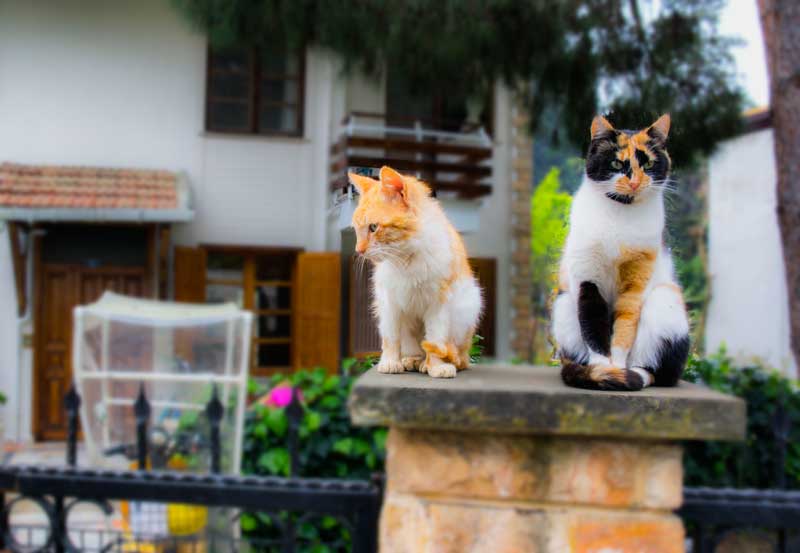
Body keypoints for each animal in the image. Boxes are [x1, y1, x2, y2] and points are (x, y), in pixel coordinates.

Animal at [348, 166, 482, 378]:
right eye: (356, 230)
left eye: (373, 227)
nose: (358, 250)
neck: (406, 259)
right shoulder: (388, 302)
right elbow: (391, 337)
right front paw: (390, 362)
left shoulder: (439, 302)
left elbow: (435, 337)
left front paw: (436, 366)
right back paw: (412, 360)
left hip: (469, 306)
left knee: (459, 357)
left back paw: (432, 363)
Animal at [552, 113, 692, 388]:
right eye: (617, 163)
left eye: (649, 164)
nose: (635, 181)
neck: (620, 214)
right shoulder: (587, 279)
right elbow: (593, 326)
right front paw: (603, 368)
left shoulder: (636, 283)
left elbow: (624, 326)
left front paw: (615, 368)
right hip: (563, 306)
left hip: (664, 300)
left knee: (660, 372)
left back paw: (632, 374)